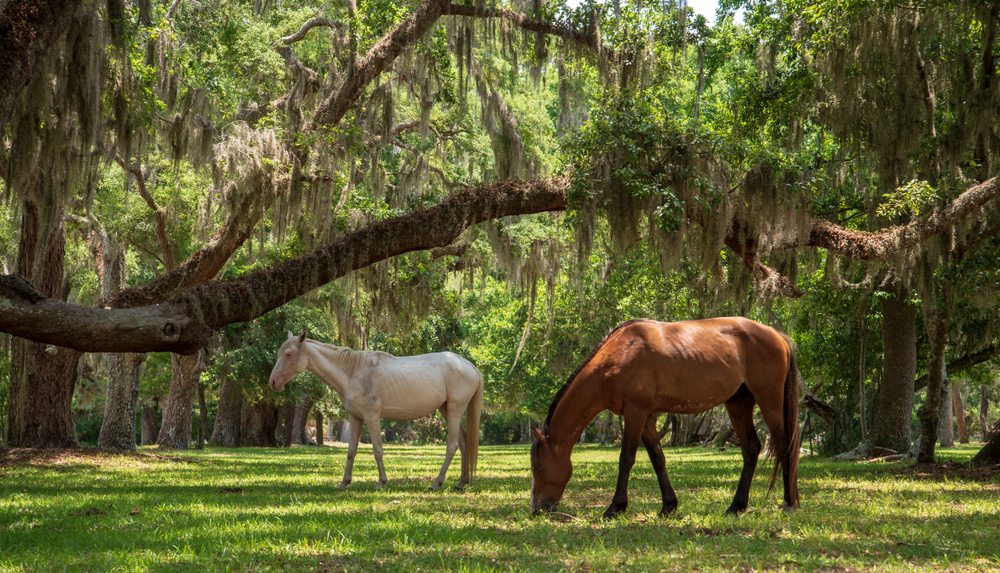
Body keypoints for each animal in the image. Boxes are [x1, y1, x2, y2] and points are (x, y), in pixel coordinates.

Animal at [266, 332, 484, 490]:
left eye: (288, 354)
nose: (273, 382)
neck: (353, 371)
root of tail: (470, 366)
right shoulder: (355, 418)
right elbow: (351, 451)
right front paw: (344, 483)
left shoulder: (372, 417)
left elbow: (378, 450)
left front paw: (381, 482)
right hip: (446, 409)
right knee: (463, 443)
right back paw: (461, 483)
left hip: (454, 409)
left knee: (452, 445)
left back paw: (437, 483)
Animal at [528, 318, 800, 520]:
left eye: (538, 466)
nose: (536, 509)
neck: (618, 355)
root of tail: (777, 336)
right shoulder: (645, 416)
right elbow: (658, 459)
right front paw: (668, 506)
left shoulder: (635, 412)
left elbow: (626, 459)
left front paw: (615, 508)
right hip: (738, 403)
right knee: (751, 448)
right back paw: (736, 506)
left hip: (769, 401)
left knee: (784, 445)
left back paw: (788, 502)